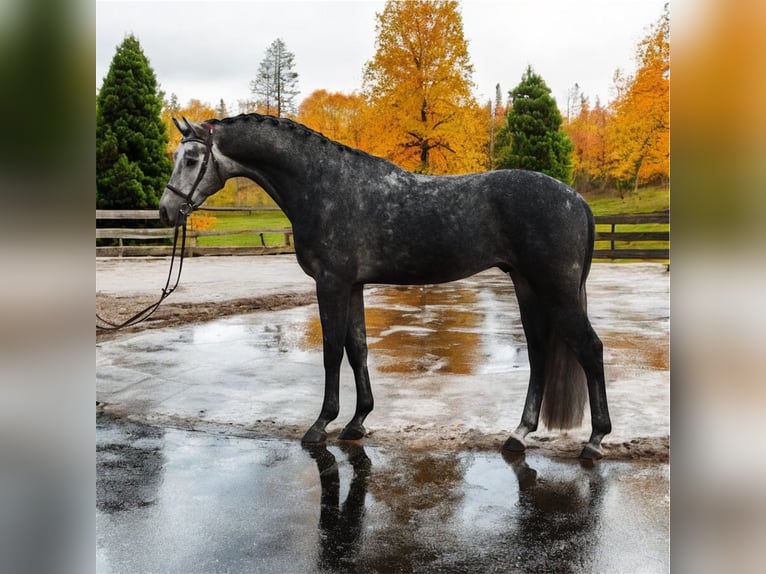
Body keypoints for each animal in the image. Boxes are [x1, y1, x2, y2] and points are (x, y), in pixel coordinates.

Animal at [159, 114, 611, 459]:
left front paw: (321, 425)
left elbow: (331, 352)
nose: (166, 211)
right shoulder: (354, 286)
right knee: (539, 354)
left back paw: (595, 439)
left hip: (556, 291)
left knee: (589, 349)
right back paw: (519, 433)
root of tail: (577, 200)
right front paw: (357, 422)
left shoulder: (332, 283)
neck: (325, 185)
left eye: (192, 158)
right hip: (528, 287)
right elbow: (357, 349)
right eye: (176, 157)